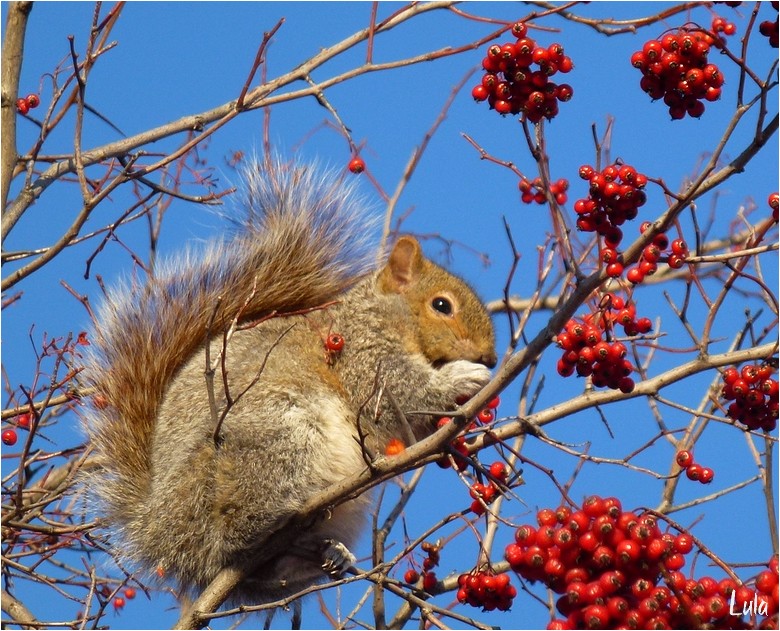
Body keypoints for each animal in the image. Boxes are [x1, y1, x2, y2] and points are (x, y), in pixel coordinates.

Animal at [82, 157, 496, 608]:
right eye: (441, 305)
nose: (491, 357)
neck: (381, 312)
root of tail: (158, 530)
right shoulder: (365, 356)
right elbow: (401, 395)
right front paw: (464, 376)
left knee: (263, 574)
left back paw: (328, 553)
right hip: (277, 430)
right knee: (231, 533)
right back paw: (262, 523)